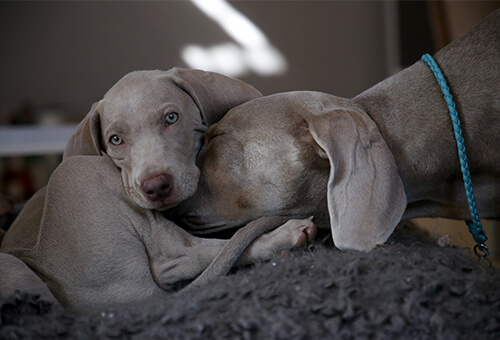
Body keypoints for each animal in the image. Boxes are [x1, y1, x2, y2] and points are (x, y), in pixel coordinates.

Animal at [0, 67, 316, 312]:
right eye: (115, 139)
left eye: (171, 118)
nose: (156, 187)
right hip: (81, 172)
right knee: (178, 257)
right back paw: (285, 238)